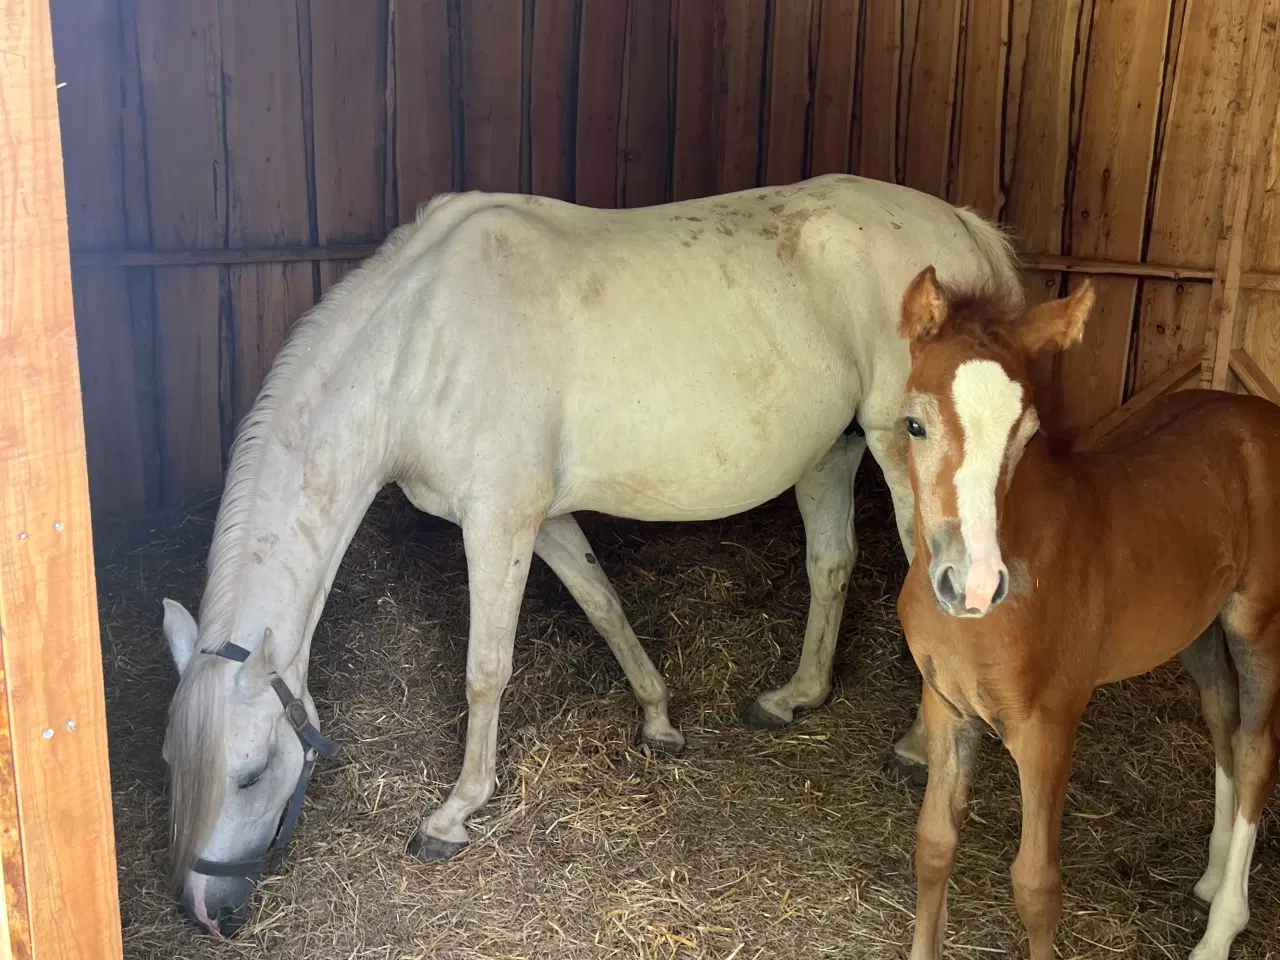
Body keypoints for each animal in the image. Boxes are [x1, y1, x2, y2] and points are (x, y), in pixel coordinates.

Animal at [160, 171, 1018, 931]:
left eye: (250, 773)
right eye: (170, 762)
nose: (207, 911)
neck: (420, 344)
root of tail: (961, 223)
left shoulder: (498, 522)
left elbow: (485, 671)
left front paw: (454, 812)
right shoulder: (539, 520)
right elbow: (603, 604)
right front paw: (660, 720)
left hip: (902, 458)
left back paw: (915, 749)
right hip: (833, 451)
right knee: (830, 566)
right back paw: (793, 698)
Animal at [890, 267, 1280, 960]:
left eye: (1025, 436)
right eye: (915, 425)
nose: (974, 586)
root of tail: (1258, 415)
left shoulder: (1048, 727)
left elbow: (1036, 887)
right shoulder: (946, 706)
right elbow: (933, 845)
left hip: (1254, 621)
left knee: (1257, 748)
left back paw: (1221, 930)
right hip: (1197, 631)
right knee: (1223, 723)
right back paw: (1210, 880)